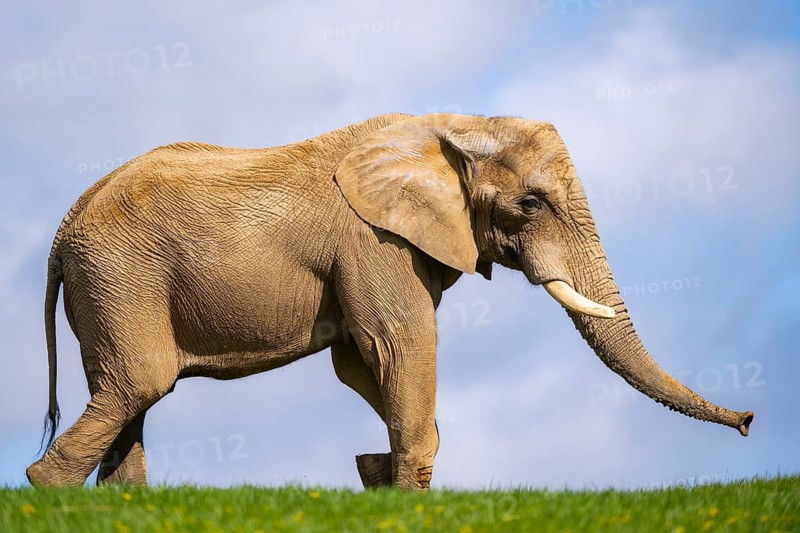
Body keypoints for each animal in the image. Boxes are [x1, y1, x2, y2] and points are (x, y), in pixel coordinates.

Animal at [26, 113, 753, 490]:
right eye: (531, 204)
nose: (749, 421)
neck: (455, 125)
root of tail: (62, 230)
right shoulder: (374, 240)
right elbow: (401, 343)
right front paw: (400, 491)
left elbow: (359, 360)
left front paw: (376, 475)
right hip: (122, 273)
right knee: (141, 380)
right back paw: (45, 490)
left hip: (108, 284)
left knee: (125, 390)